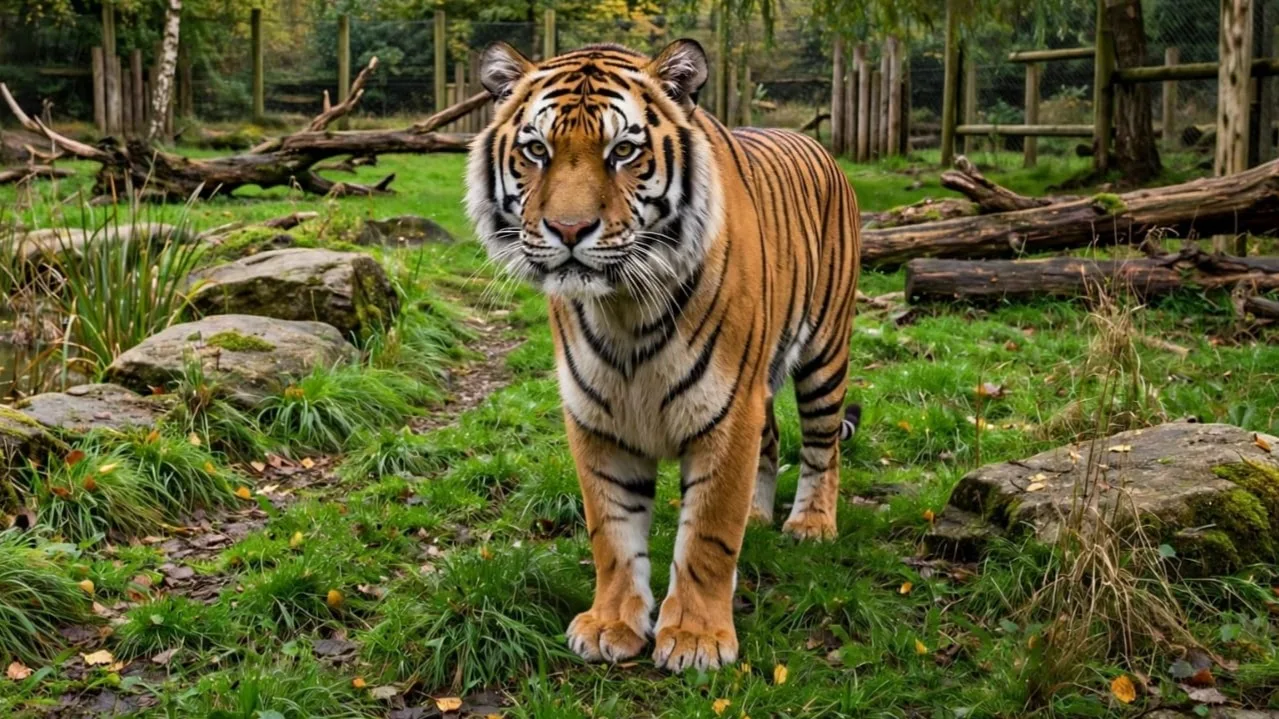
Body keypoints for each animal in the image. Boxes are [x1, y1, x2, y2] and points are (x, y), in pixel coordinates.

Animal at [465, 38, 862, 672]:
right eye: (536, 150)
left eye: (623, 151)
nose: (569, 230)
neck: (623, 308)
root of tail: (818, 144)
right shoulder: (596, 418)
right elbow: (612, 532)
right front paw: (611, 624)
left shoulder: (728, 410)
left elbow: (707, 535)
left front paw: (697, 638)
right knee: (774, 439)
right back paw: (759, 516)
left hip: (825, 353)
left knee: (823, 446)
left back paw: (811, 524)